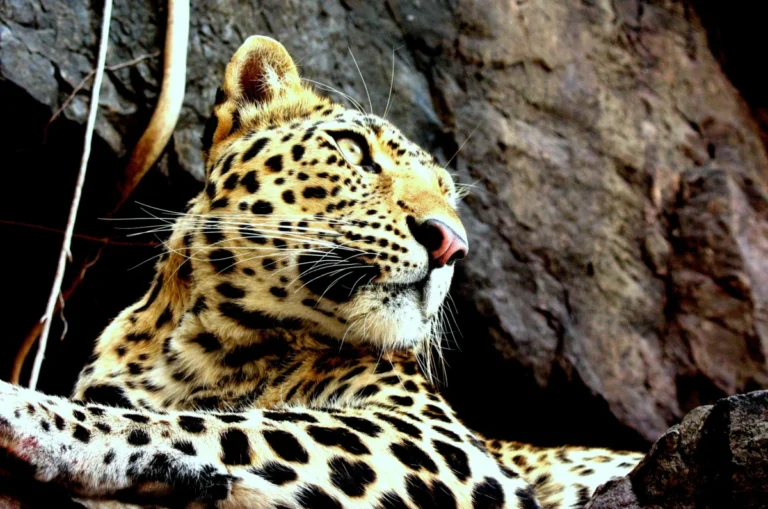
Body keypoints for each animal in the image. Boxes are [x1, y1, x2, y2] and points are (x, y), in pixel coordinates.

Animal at [0, 36, 644, 509]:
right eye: (355, 151)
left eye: (449, 196)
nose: (452, 244)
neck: (196, 346)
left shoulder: (432, 439)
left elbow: (208, 425)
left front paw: (33, 414)